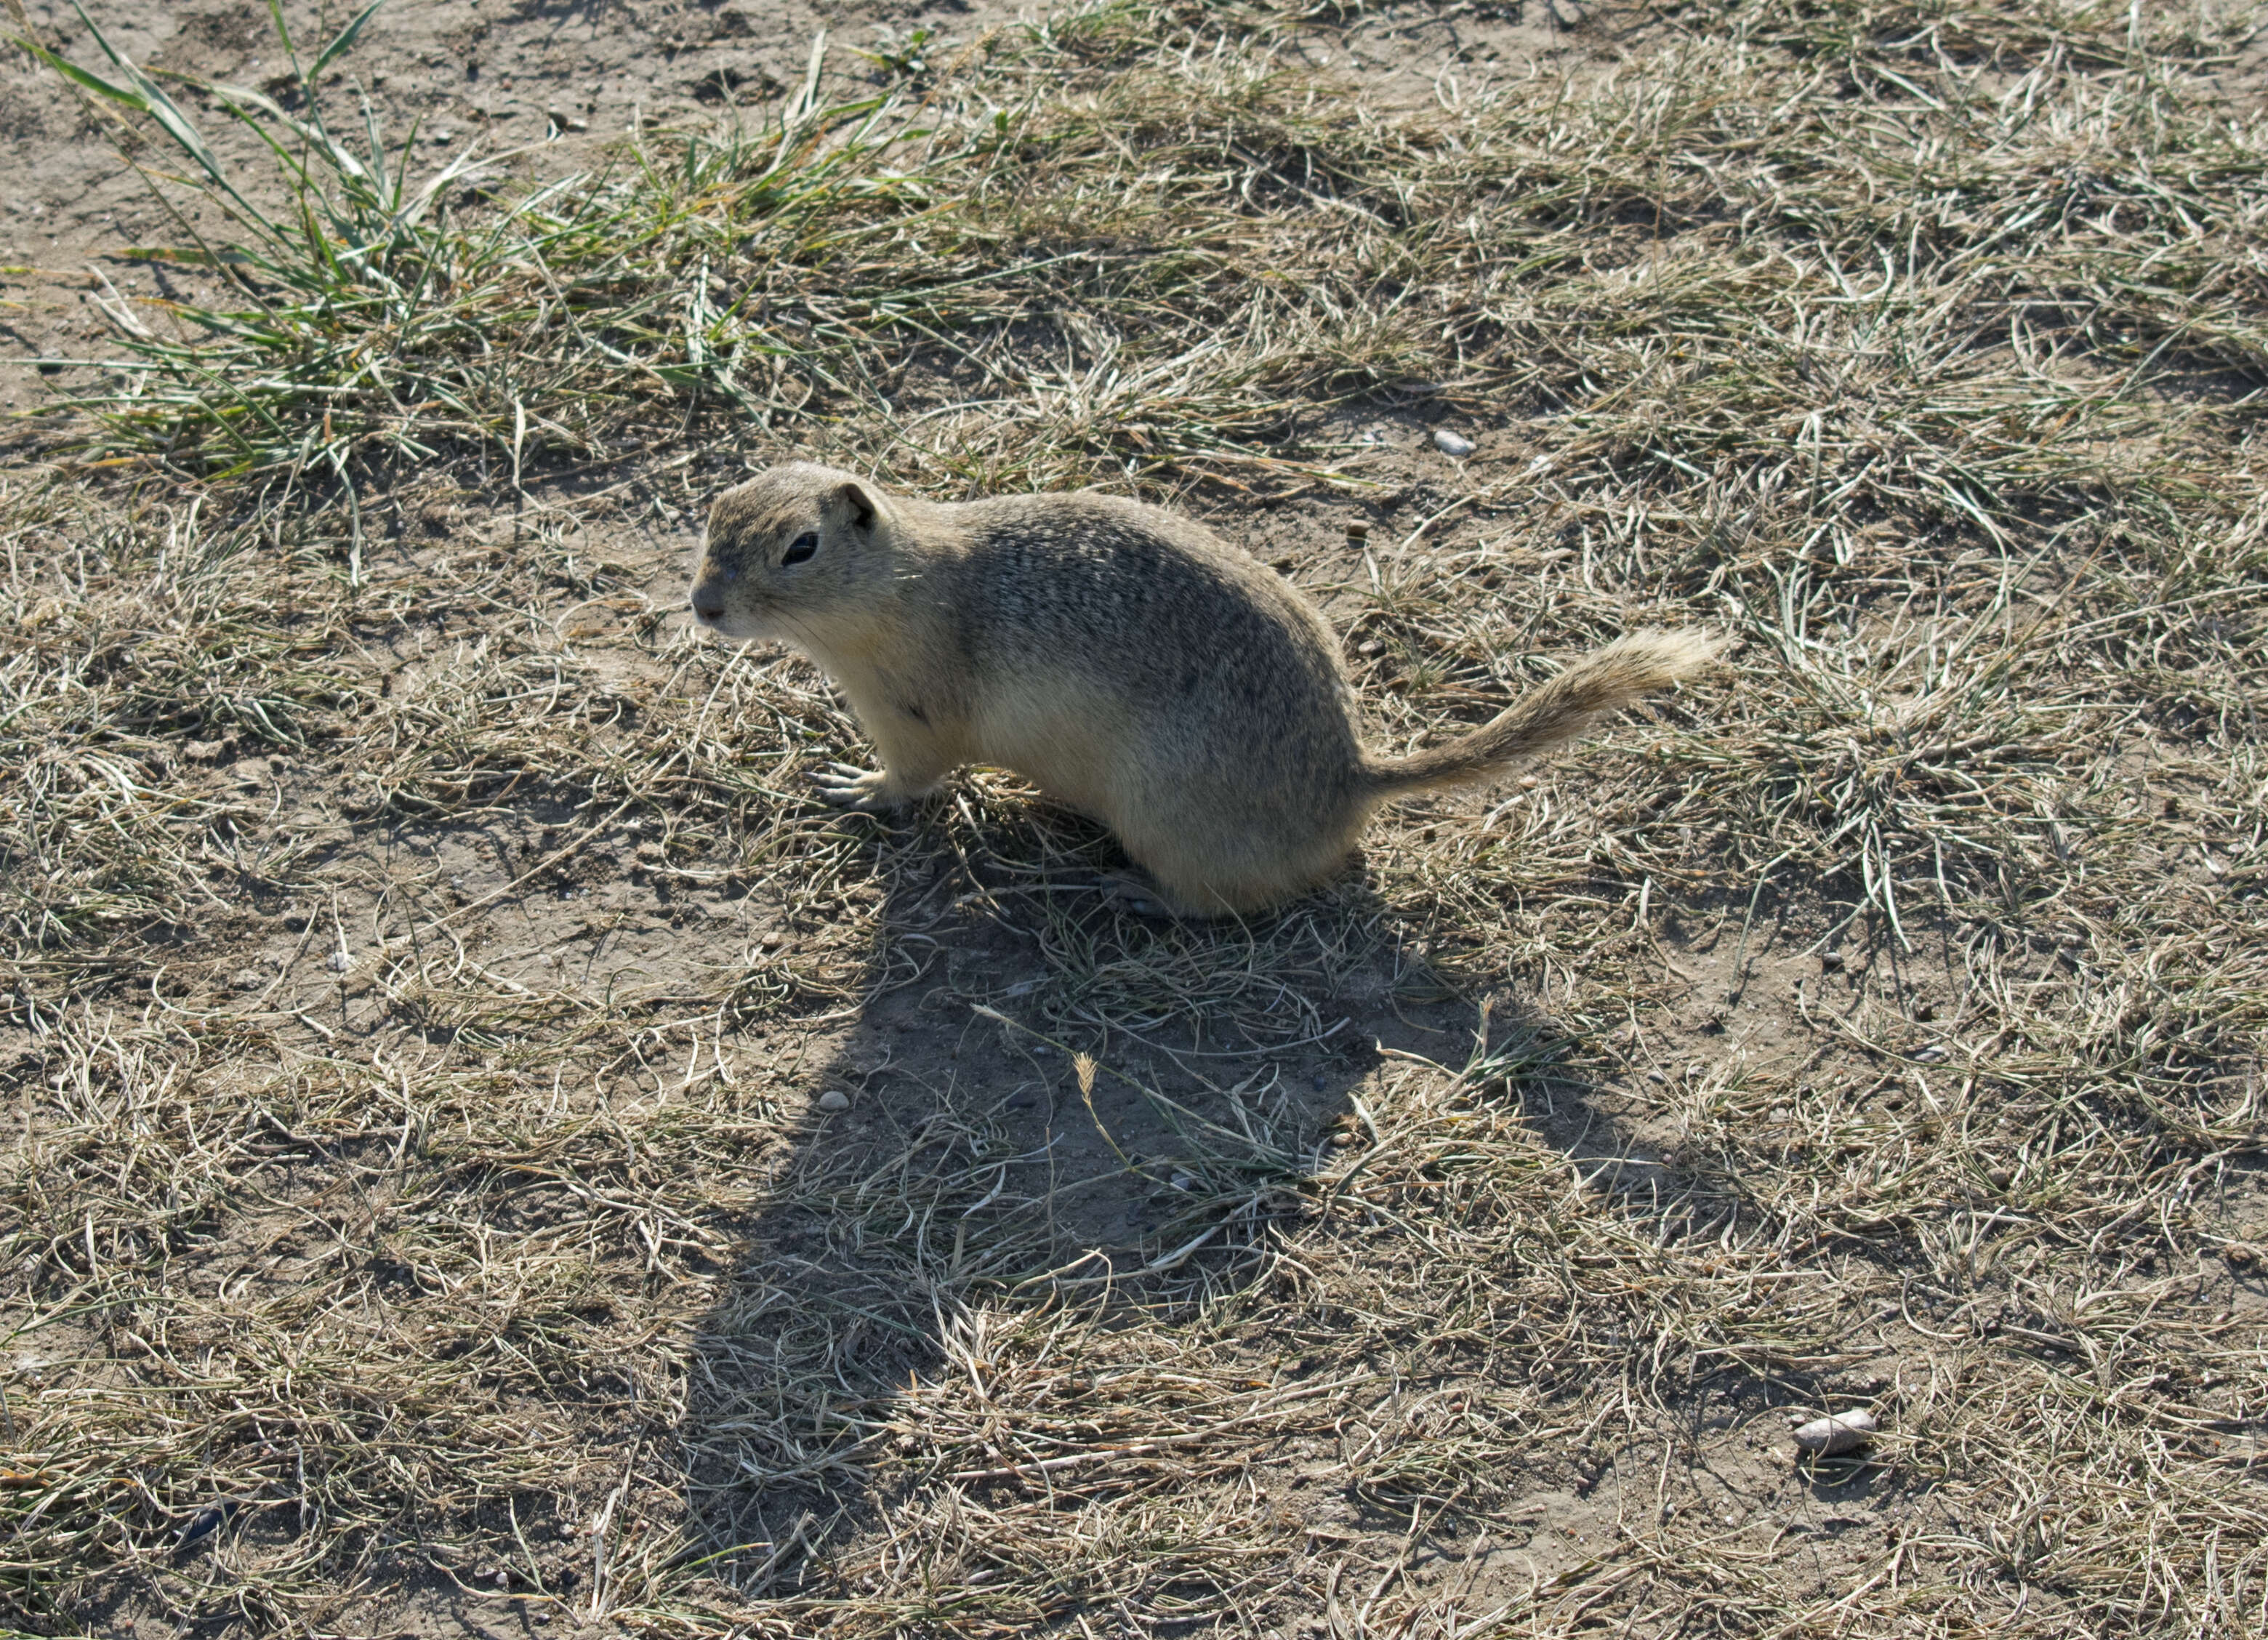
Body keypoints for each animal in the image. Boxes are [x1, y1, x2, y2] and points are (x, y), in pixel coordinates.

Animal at [689, 467, 1714, 916]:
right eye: (713, 509)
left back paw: (1131, 895)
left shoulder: (910, 713)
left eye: (801, 547)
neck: (898, 582)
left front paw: (853, 790)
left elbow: (913, 777)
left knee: (1226, 903)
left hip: (1164, 816)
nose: (701, 606)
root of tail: (1349, 779)